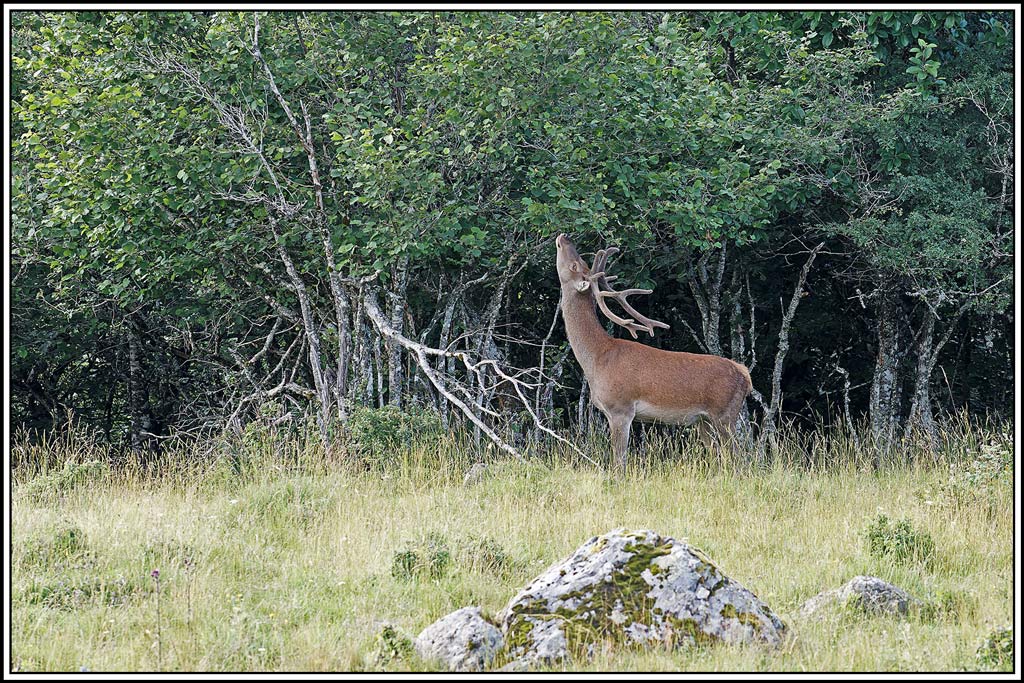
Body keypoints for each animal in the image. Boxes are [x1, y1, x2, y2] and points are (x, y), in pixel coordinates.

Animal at [554, 233, 752, 469]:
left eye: (575, 265)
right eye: (581, 262)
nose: (564, 237)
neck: (597, 358)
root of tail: (744, 374)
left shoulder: (621, 408)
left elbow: (619, 462)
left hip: (725, 413)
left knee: (739, 458)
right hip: (703, 420)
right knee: (720, 456)